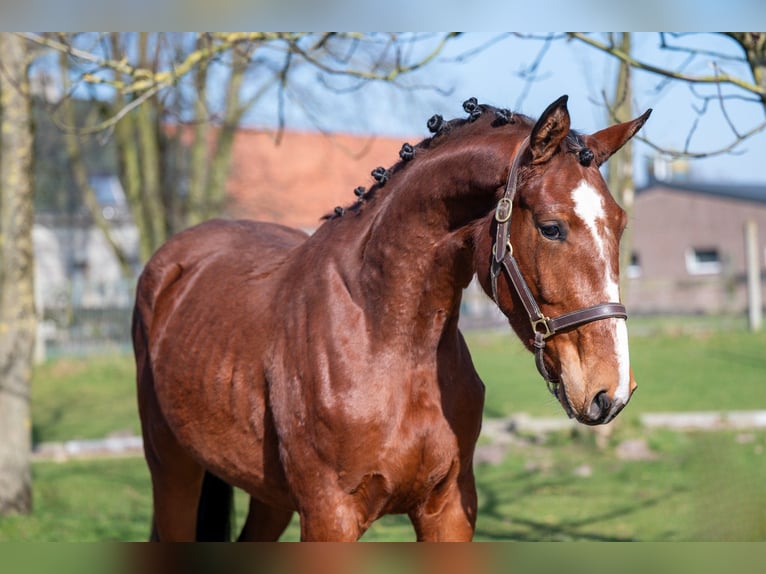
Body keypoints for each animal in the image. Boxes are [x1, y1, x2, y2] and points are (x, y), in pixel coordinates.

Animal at [135, 95, 652, 544]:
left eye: (622, 224)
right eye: (550, 227)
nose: (611, 391)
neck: (388, 341)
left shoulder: (448, 511)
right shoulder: (330, 517)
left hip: (268, 497)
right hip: (174, 470)